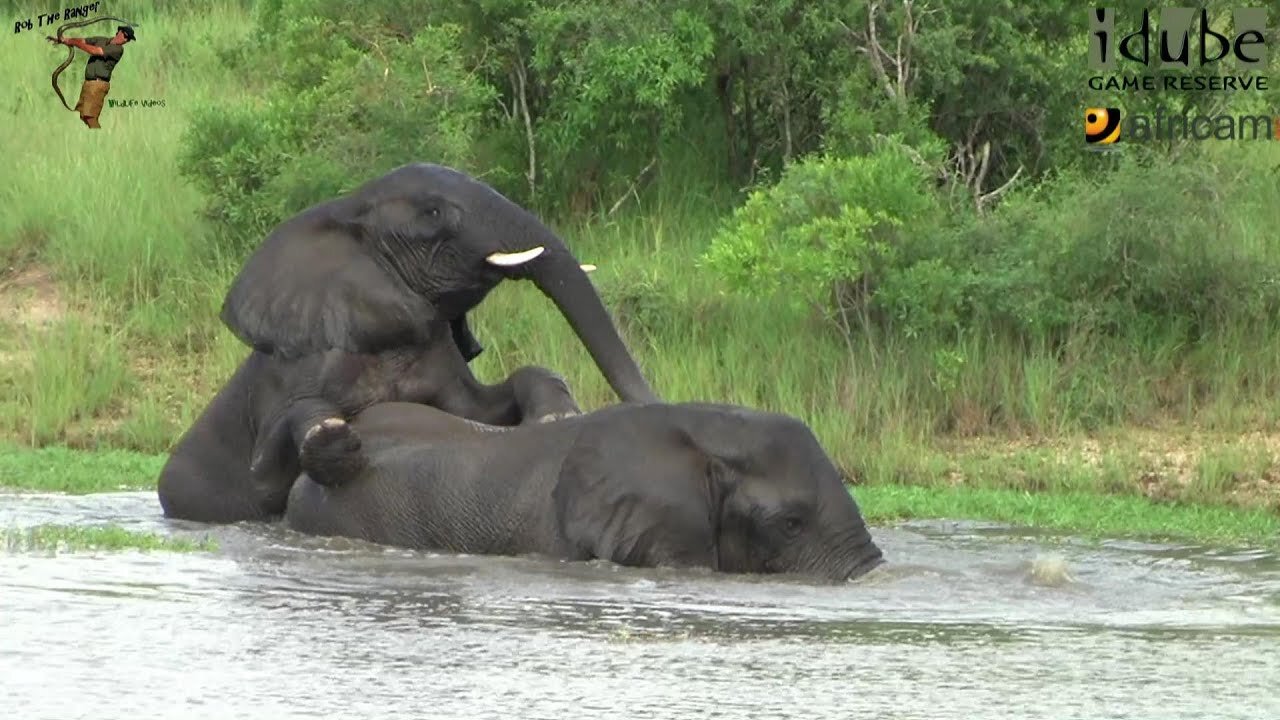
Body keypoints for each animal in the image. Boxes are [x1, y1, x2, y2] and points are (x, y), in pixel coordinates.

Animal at [157, 161, 660, 520]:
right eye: (432, 213)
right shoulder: (302, 364)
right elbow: (266, 472)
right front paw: (334, 442)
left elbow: (480, 410)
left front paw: (557, 416)